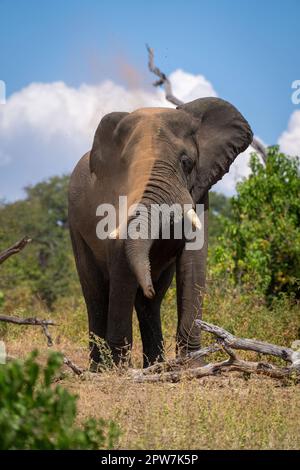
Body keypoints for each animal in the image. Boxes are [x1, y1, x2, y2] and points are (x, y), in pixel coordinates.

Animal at [68, 97, 253, 370]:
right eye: (127, 168)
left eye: (186, 162)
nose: (147, 286)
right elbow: (121, 262)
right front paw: (121, 372)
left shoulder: (200, 194)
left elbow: (193, 262)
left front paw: (192, 366)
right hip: (74, 226)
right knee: (96, 295)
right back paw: (101, 369)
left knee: (149, 304)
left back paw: (154, 364)